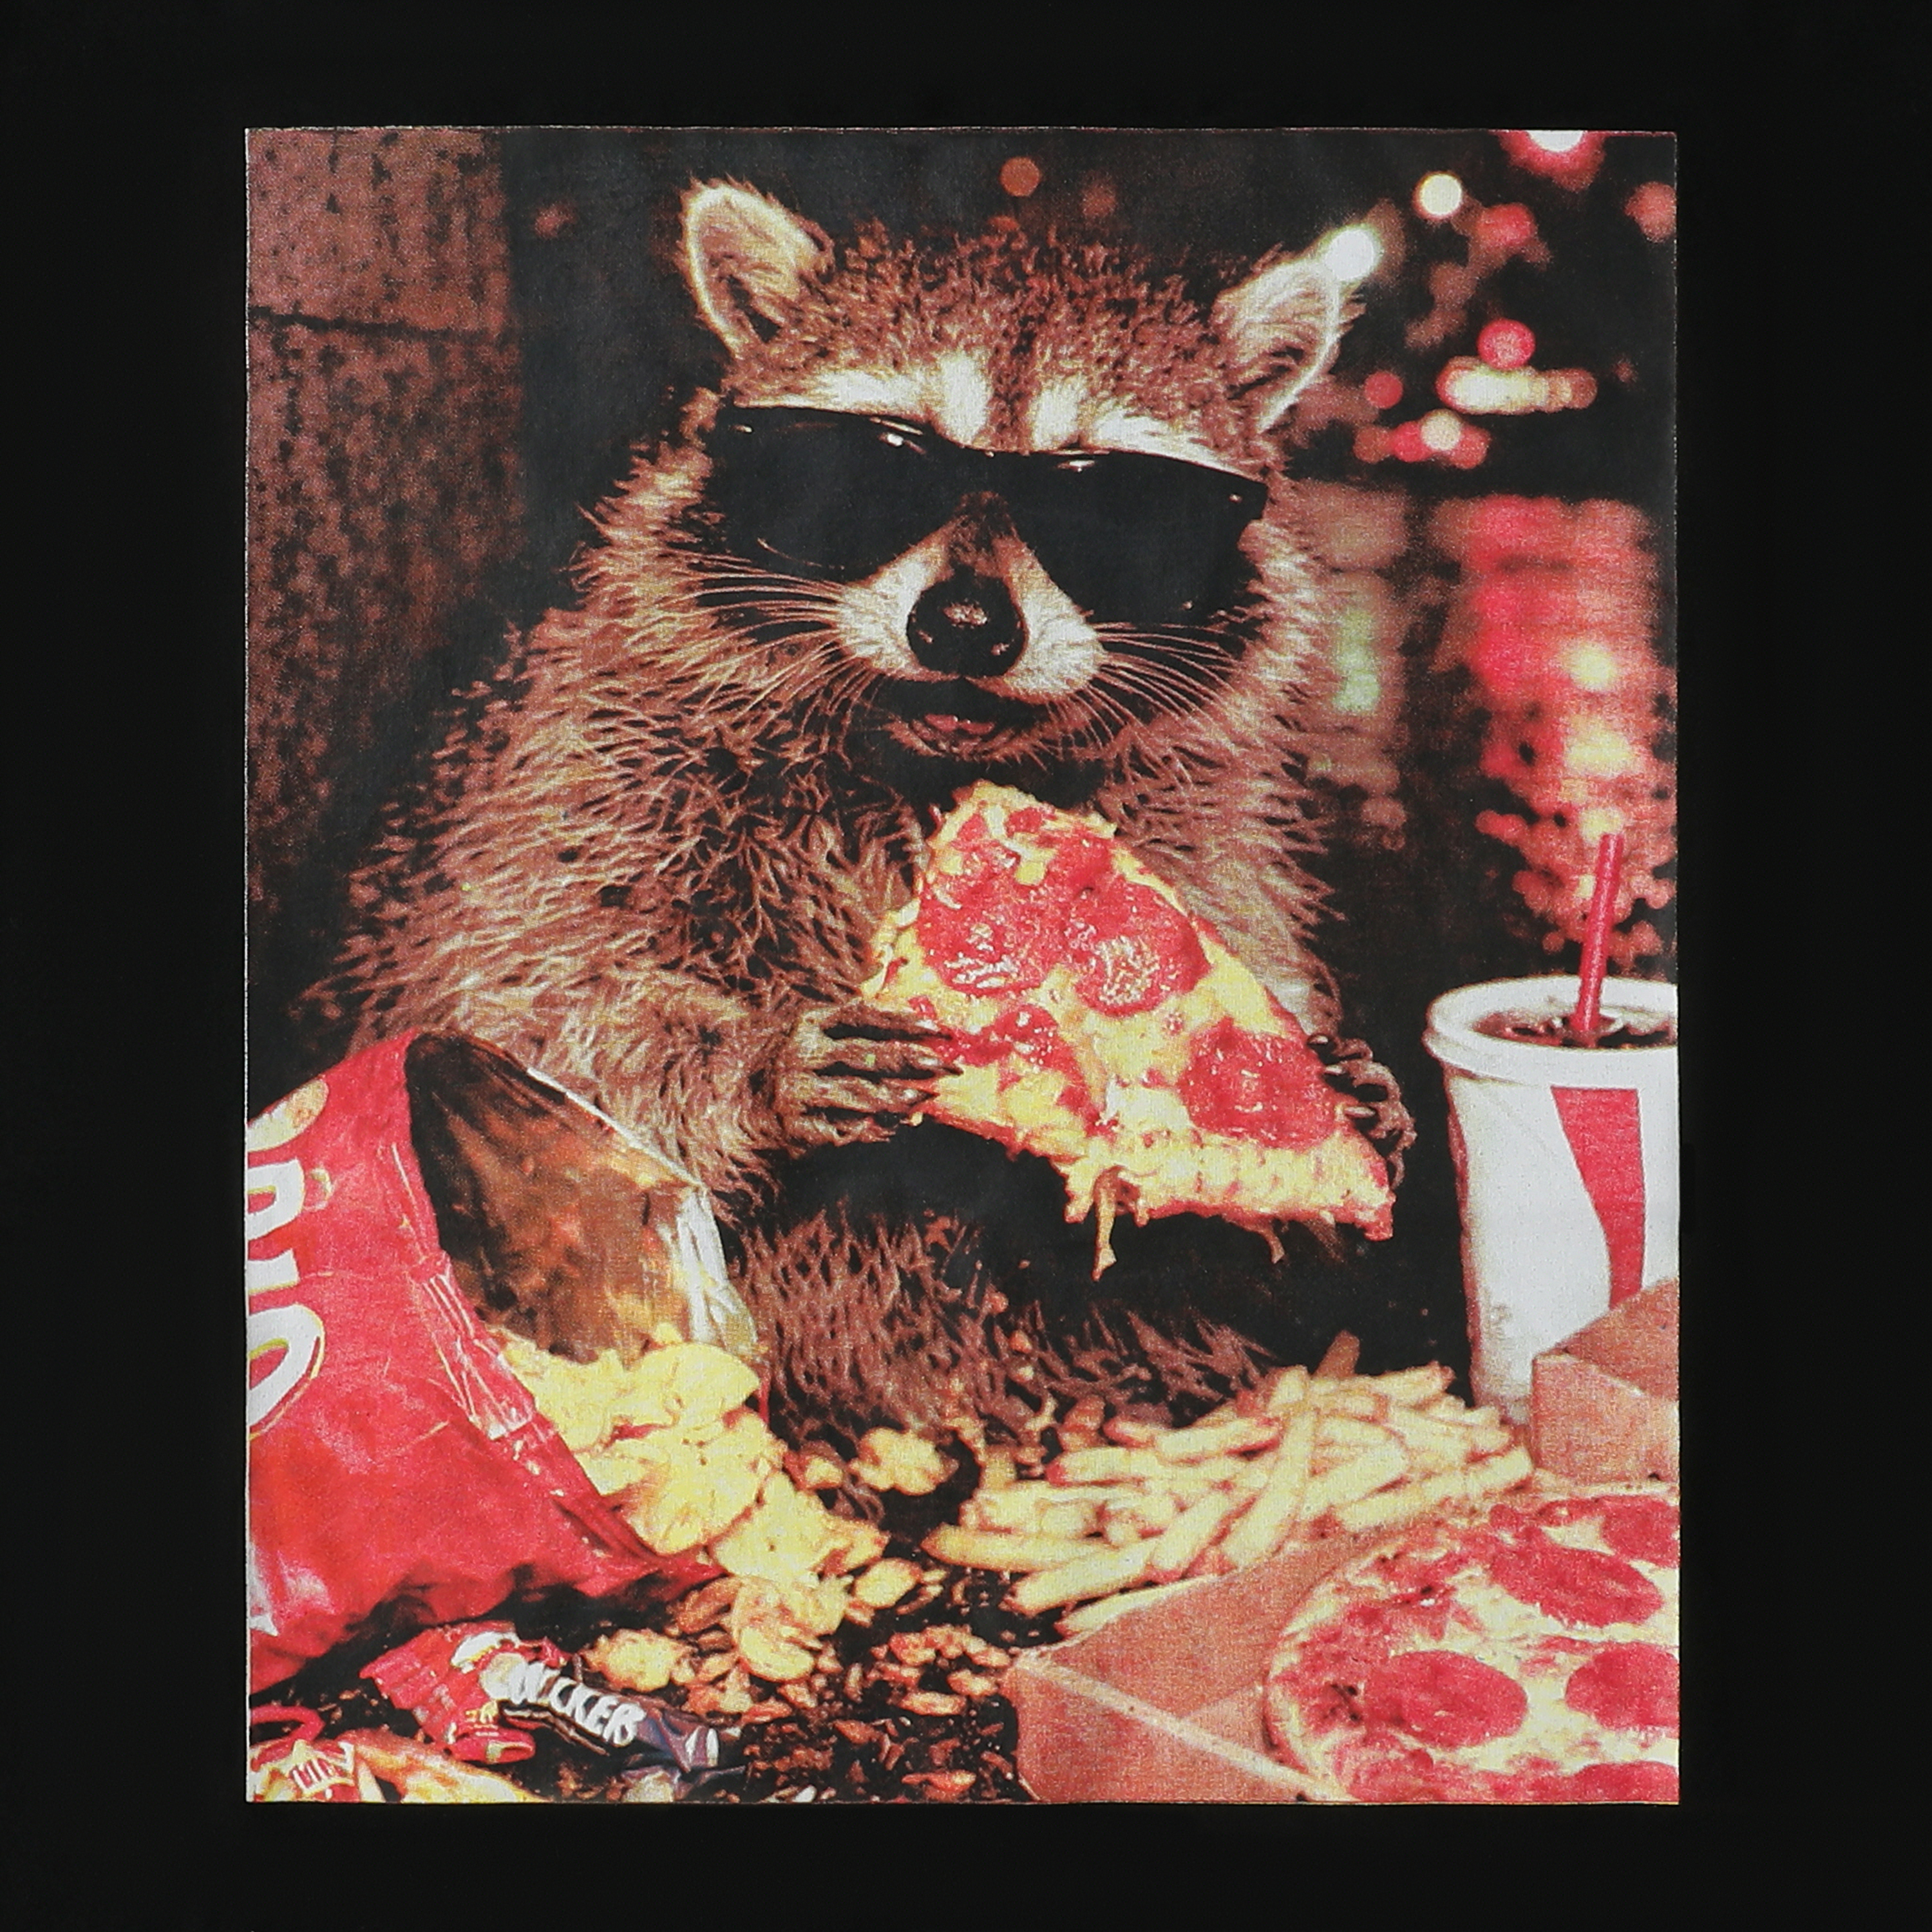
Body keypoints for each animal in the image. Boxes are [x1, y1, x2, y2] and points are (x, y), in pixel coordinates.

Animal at [308, 181, 1411, 1439]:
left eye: (1112, 507)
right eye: (876, 473)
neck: (922, 759)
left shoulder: (1208, 825)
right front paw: (747, 1067)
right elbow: (521, 1024)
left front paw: (1331, 1116)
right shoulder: (586, 761)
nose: (966, 626)